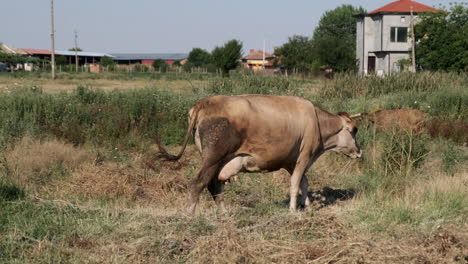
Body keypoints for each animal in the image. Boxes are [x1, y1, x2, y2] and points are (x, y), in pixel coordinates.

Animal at [157, 95, 362, 214]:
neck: (317, 121)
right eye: (354, 130)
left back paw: (224, 214)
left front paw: (308, 206)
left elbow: (303, 182)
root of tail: (205, 102)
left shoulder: (291, 161)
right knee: (198, 184)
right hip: (213, 159)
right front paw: (293, 211)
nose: (359, 151)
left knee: (214, 186)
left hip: (217, 162)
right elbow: (295, 184)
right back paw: (189, 216)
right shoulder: (304, 156)